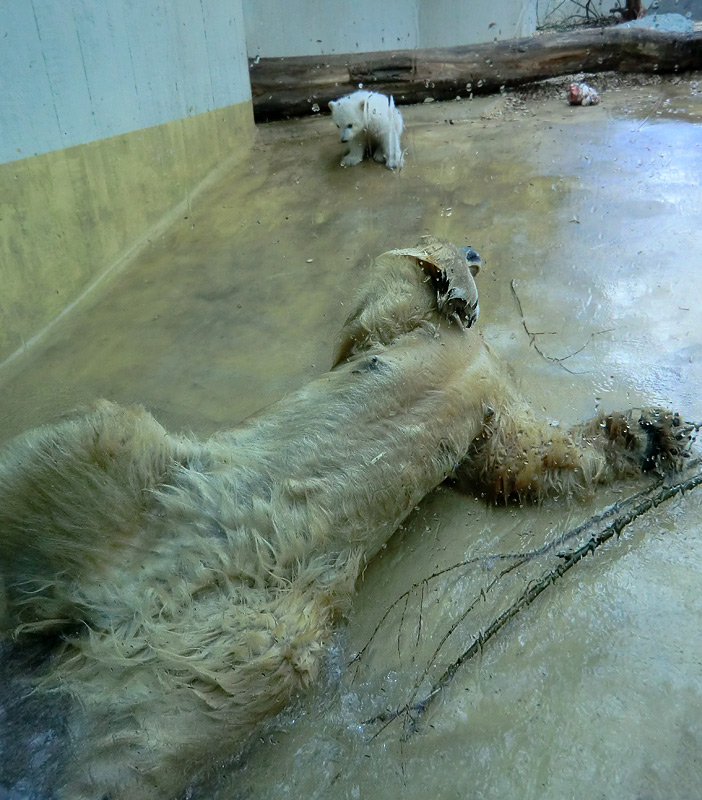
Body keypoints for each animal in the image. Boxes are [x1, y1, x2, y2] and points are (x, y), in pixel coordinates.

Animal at [0, 238, 692, 800]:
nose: (477, 256)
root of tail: (126, 603)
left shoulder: (481, 400)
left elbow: (519, 454)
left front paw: (654, 433)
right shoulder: (402, 340)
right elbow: (379, 310)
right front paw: (453, 275)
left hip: (244, 645)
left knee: (140, 743)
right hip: (129, 482)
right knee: (73, 451)